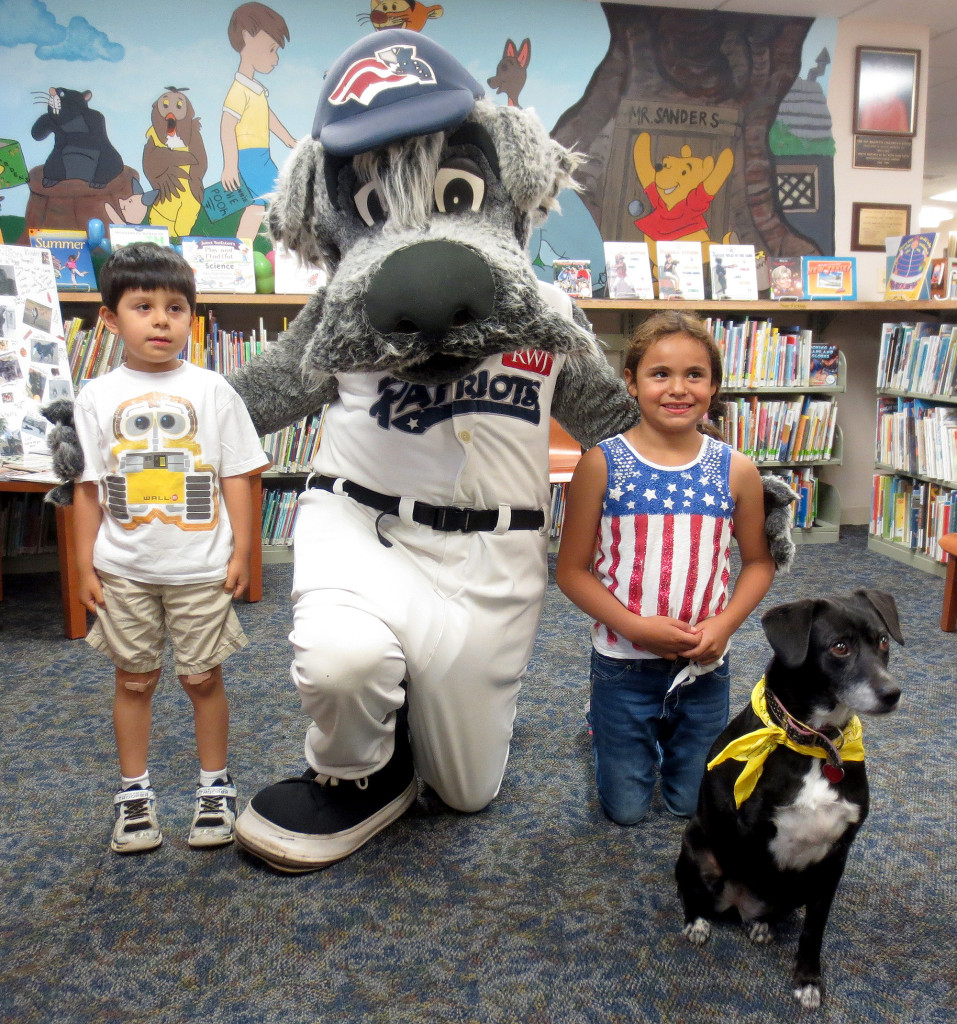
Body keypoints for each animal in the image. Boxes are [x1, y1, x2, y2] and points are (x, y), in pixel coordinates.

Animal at [675, 589, 900, 1011]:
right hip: (698, 848)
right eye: (840, 647)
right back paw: (698, 922)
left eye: (882, 641)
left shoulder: (834, 857)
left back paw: (761, 924)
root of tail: (737, 906)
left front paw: (808, 981)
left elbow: (814, 929)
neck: (816, 745)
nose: (892, 693)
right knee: (693, 891)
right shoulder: (750, 837)